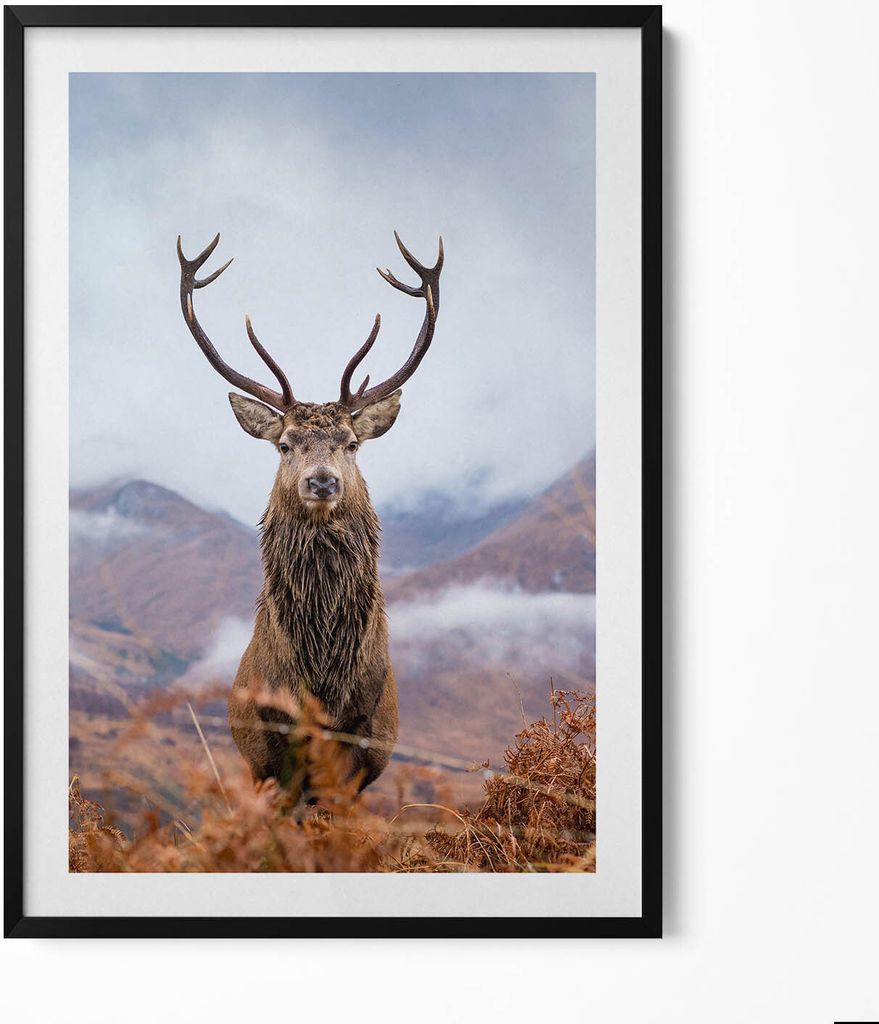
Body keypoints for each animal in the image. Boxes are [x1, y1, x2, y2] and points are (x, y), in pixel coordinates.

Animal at [176, 231, 443, 799]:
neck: (322, 679)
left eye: (351, 444)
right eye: (284, 444)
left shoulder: (360, 743)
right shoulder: (271, 746)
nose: (322, 481)